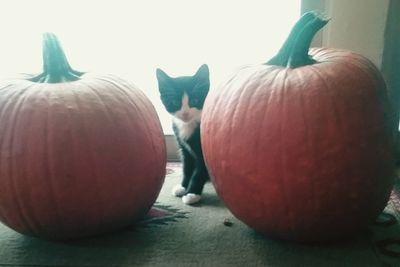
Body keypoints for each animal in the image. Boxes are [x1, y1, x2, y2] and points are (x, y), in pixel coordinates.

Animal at [156, 64, 211, 205]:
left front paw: (192, 194)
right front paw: (183, 187)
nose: (185, 113)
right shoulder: (184, 150)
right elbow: (186, 167)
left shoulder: (204, 150)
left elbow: (198, 172)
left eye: (195, 100)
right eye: (175, 102)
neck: (188, 125)